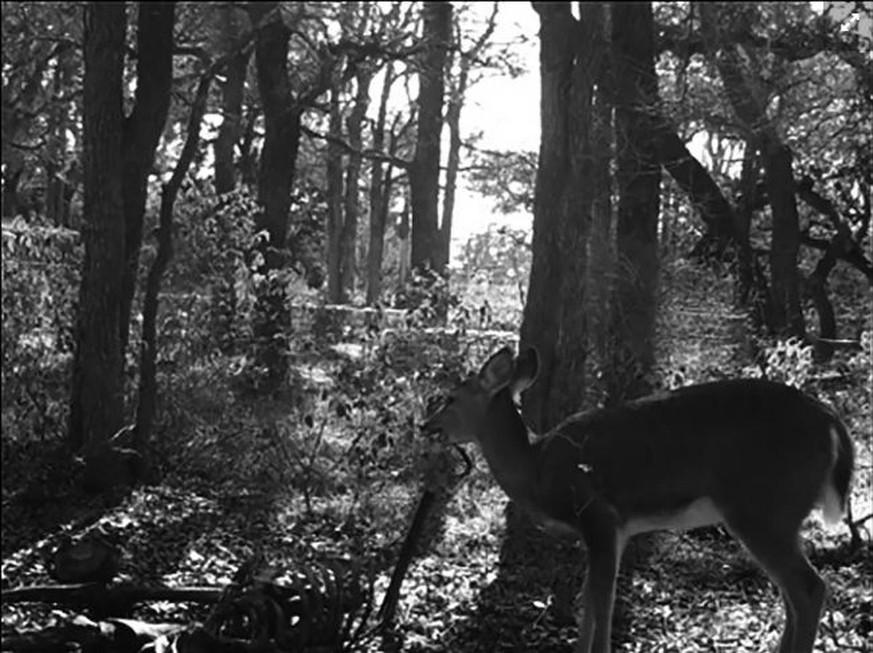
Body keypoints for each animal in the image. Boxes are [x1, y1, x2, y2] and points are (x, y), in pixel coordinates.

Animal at [426, 346, 856, 652]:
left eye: (450, 398)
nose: (426, 426)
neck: (536, 465)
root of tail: (831, 421)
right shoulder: (613, 531)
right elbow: (590, 598)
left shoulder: (597, 513)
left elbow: (602, 599)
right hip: (777, 514)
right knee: (792, 594)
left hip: (763, 506)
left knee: (808, 589)